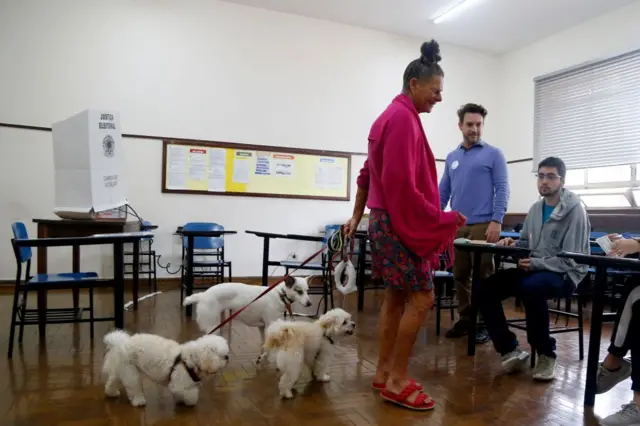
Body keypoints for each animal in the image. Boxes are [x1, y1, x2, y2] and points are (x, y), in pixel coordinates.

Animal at [101, 330, 229, 406]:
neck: (190, 360)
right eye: (220, 355)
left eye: (226, 353)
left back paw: (111, 393)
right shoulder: (178, 384)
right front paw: (189, 401)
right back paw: (139, 401)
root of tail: (122, 343)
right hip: (131, 372)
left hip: (122, 369)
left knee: (112, 381)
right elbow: (191, 395)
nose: (228, 357)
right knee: (133, 387)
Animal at [181, 276, 314, 366]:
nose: (309, 304)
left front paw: (263, 356)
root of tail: (203, 295)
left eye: (307, 290)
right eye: (299, 291)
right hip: (214, 326)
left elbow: (264, 343)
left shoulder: (262, 327)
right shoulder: (270, 324)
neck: (280, 294)